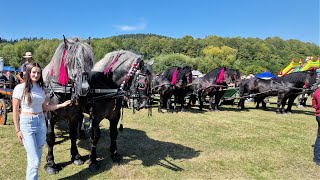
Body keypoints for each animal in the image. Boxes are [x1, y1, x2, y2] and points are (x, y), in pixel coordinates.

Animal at [42, 37, 94, 174]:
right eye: (71, 61)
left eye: (90, 61)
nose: (84, 88)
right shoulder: (49, 117)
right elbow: (50, 138)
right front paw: (50, 163)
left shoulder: (73, 117)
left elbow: (73, 135)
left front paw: (76, 156)